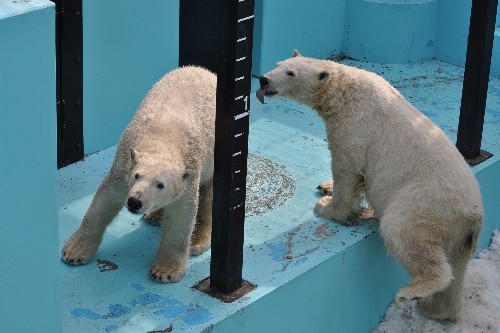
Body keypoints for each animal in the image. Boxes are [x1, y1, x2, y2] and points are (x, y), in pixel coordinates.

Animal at [62, 65, 215, 282]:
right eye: (137, 176)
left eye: (160, 185)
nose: (135, 201)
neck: (162, 138)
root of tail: (205, 71)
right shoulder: (124, 165)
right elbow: (105, 200)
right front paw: (75, 251)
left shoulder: (189, 173)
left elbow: (182, 216)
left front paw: (166, 271)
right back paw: (154, 215)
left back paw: (198, 240)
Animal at [256, 51, 482, 320]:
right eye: (278, 64)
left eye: (291, 73)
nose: (263, 80)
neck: (345, 89)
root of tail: (473, 217)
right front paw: (325, 186)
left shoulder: (354, 127)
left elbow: (348, 169)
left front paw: (327, 207)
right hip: (459, 236)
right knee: (457, 268)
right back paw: (435, 309)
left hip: (427, 202)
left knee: (404, 232)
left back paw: (413, 291)